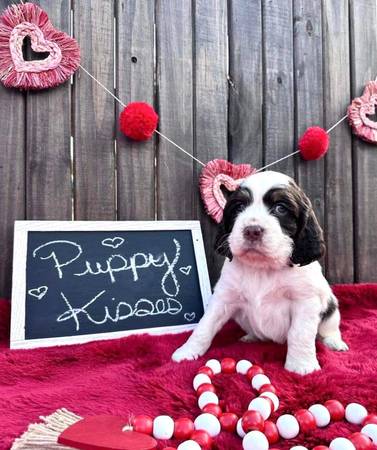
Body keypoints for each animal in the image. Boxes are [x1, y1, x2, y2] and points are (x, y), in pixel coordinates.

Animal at [173, 171, 346, 374]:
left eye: (280, 208)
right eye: (239, 207)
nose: (252, 231)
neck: (262, 267)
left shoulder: (306, 300)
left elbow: (300, 333)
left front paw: (301, 365)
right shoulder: (223, 296)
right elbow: (205, 325)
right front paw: (186, 351)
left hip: (332, 309)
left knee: (330, 329)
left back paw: (334, 343)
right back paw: (251, 337)